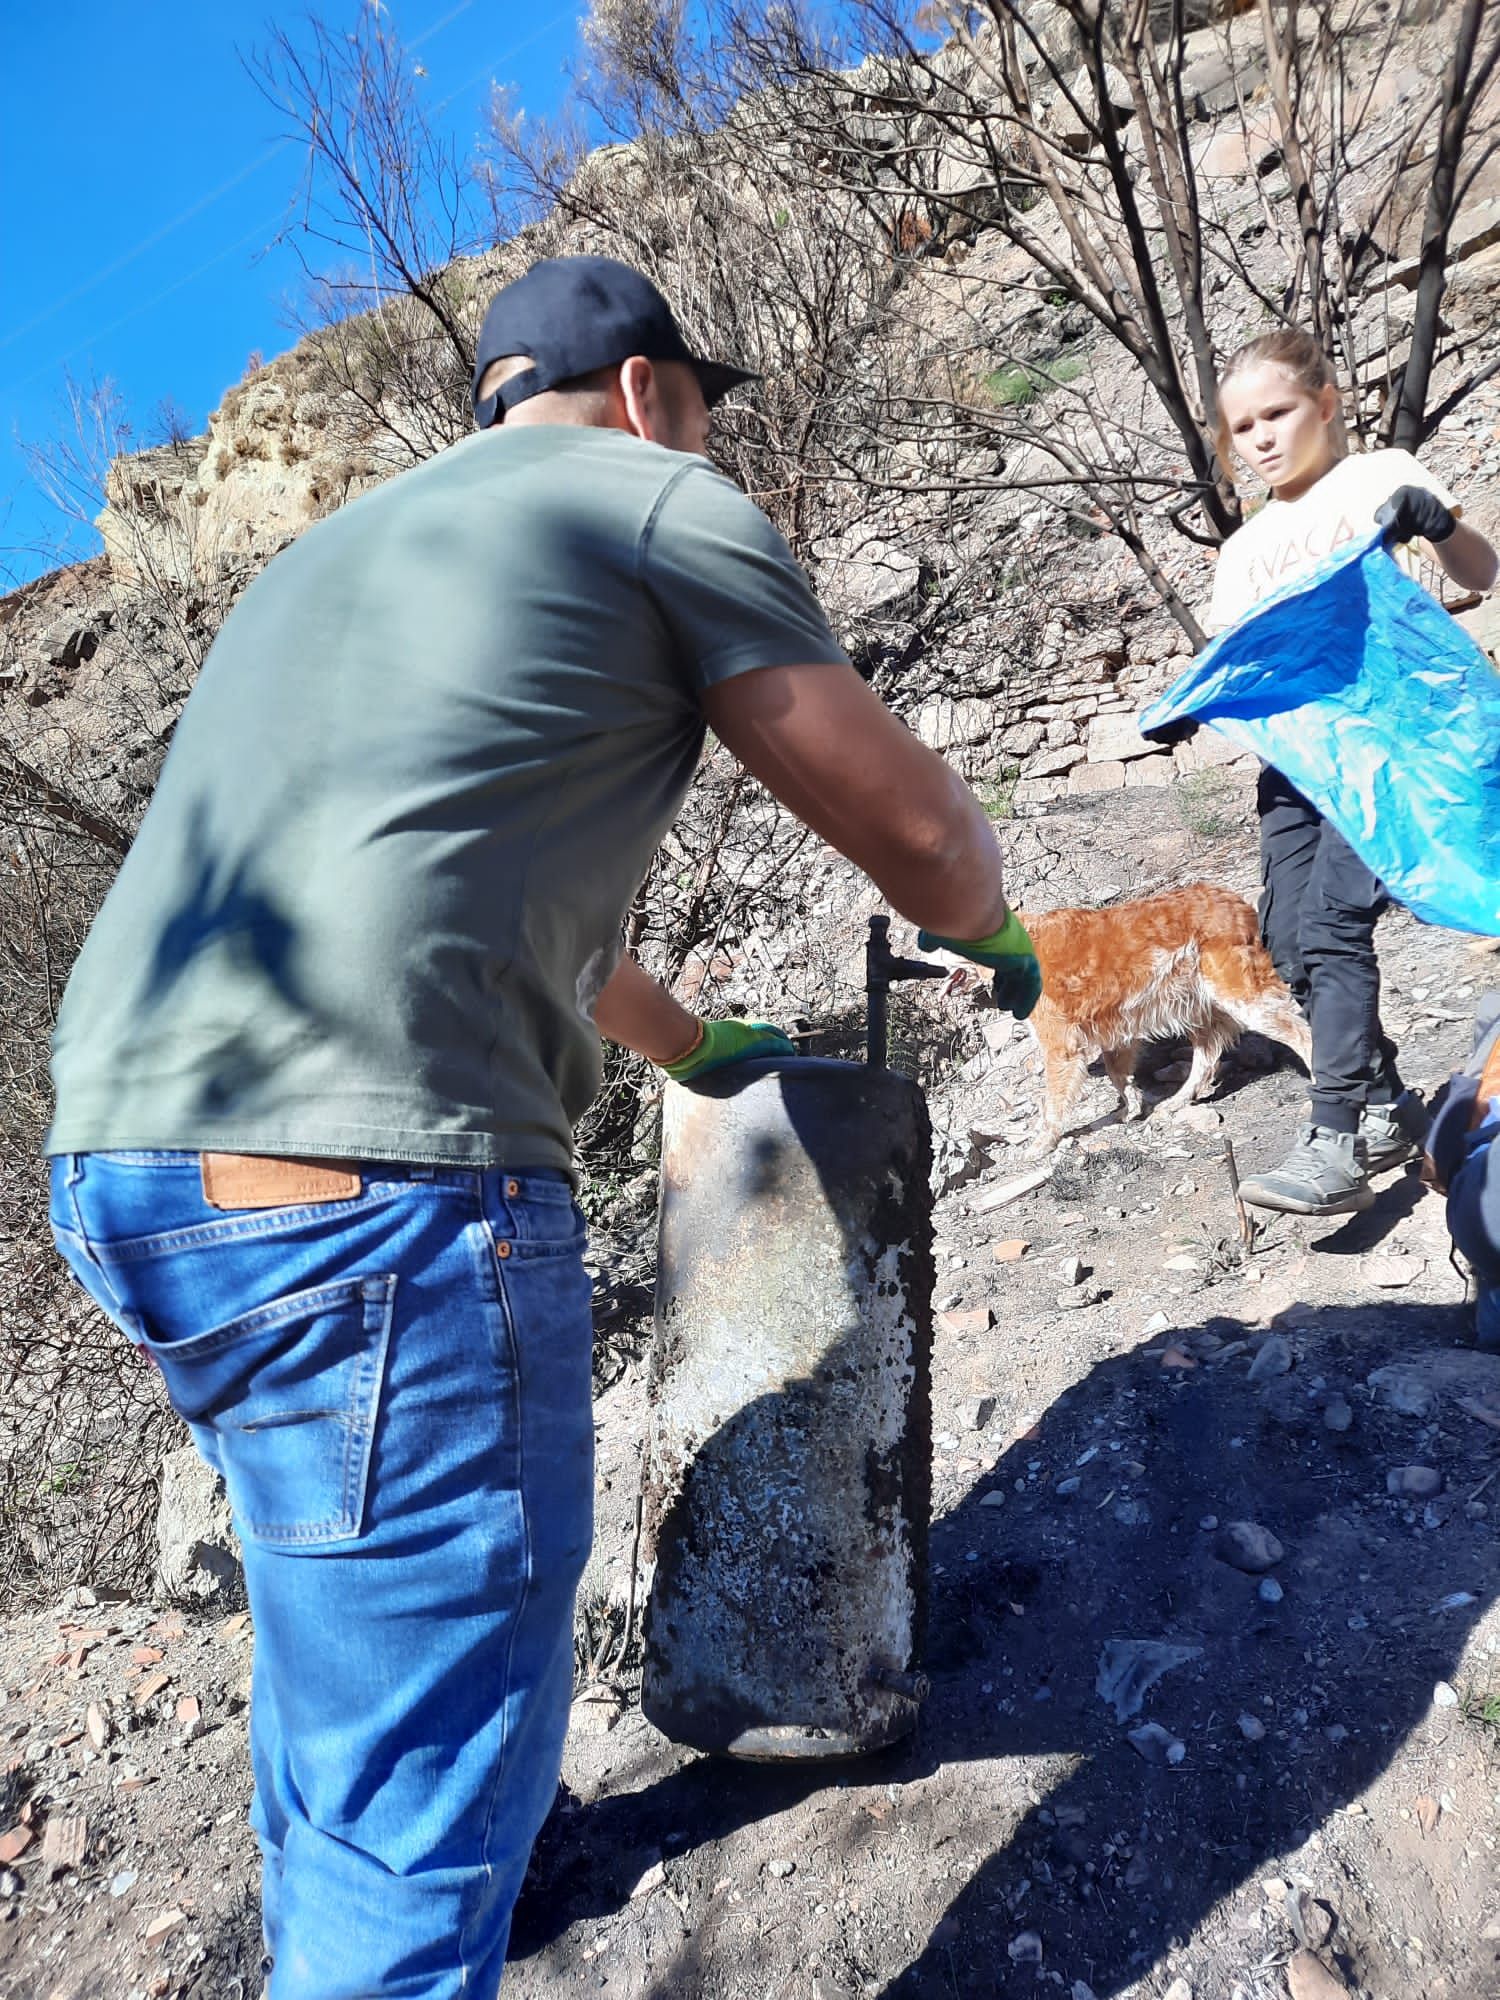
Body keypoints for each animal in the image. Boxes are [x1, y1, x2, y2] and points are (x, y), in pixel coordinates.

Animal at [1016, 884, 1312, 1152]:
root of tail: (1238, 904)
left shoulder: (1061, 1048)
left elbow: (1055, 1104)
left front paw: (1044, 1143)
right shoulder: (1118, 1032)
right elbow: (1119, 1075)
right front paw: (1132, 1107)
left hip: (1241, 1000)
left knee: (1302, 1035)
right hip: (1196, 1007)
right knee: (1207, 1060)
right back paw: (1175, 1102)